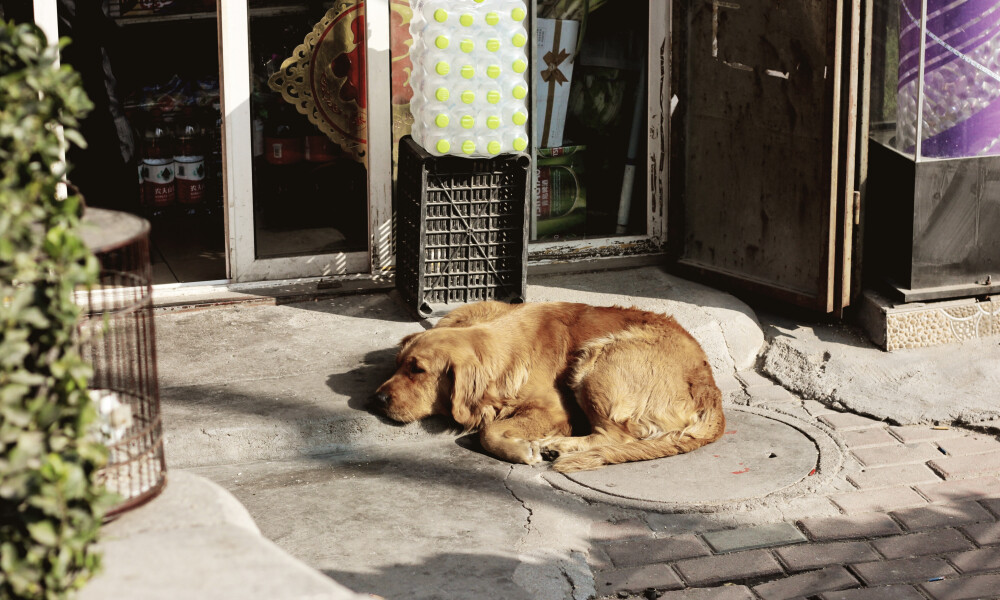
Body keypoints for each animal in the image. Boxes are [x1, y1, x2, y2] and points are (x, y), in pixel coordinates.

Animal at [372, 302, 724, 472]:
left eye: (417, 370)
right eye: (398, 364)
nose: (379, 398)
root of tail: (712, 393)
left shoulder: (554, 410)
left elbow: (488, 431)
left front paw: (520, 450)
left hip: (597, 359)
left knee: (617, 436)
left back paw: (557, 446)